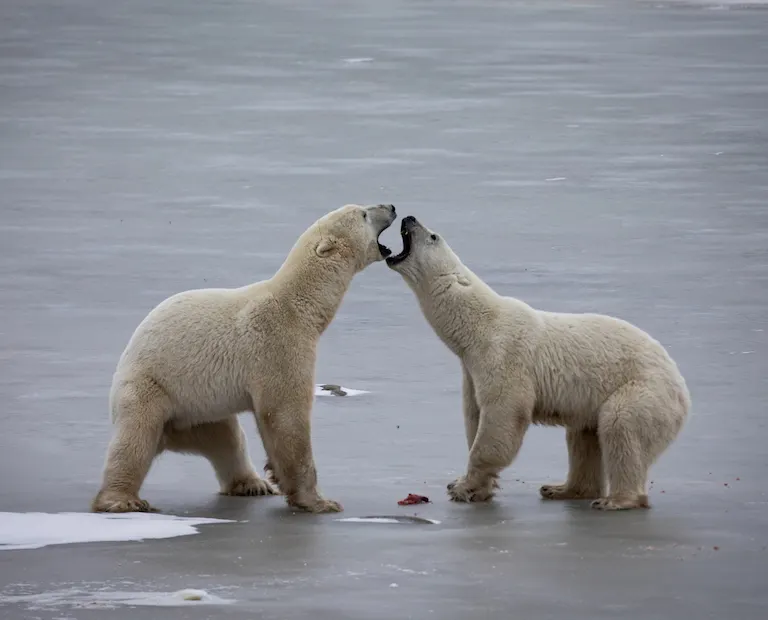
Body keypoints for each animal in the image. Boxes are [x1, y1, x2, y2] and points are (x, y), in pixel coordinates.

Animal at [91, 203, 397, 515]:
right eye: (363, 214)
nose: (391, 207)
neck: (298, 305)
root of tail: (171, 435)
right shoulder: (277, 344)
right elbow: (285, 414)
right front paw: (320, 501)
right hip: (153, 389)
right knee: (135, 439)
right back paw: (122, 499)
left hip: (200, 410)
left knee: (226, 440)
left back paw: (252, 484)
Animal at [386, 215, 690, 510]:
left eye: (433, 236)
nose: (409, 217)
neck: (480, 325)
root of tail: (681, 387)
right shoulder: (470, 370)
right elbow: (474, 416)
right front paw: (473, 487)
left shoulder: (504, 355)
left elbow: (502, 415)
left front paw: (463, 487)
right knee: (583, 436)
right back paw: (562, 489)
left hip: (643, 390)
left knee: (620, 426)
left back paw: (615, 500)